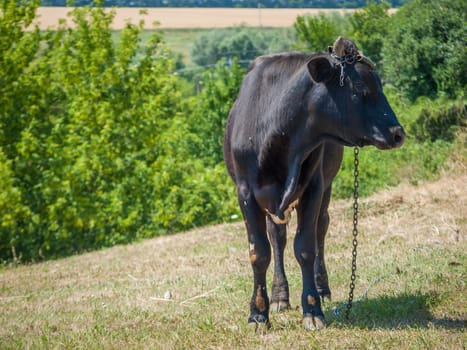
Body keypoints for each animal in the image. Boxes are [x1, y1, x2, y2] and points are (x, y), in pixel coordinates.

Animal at [224, 38, 406, 330]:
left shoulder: (314, 187)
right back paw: (280, 296)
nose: (398, 133)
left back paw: (322, 288)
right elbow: (259, 252)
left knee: (321, 228)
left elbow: (306, 247)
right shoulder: (246, 193)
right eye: (360, 88)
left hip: (325, 188)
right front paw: (258, 314)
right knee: (277, 237)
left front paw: (312, 309)